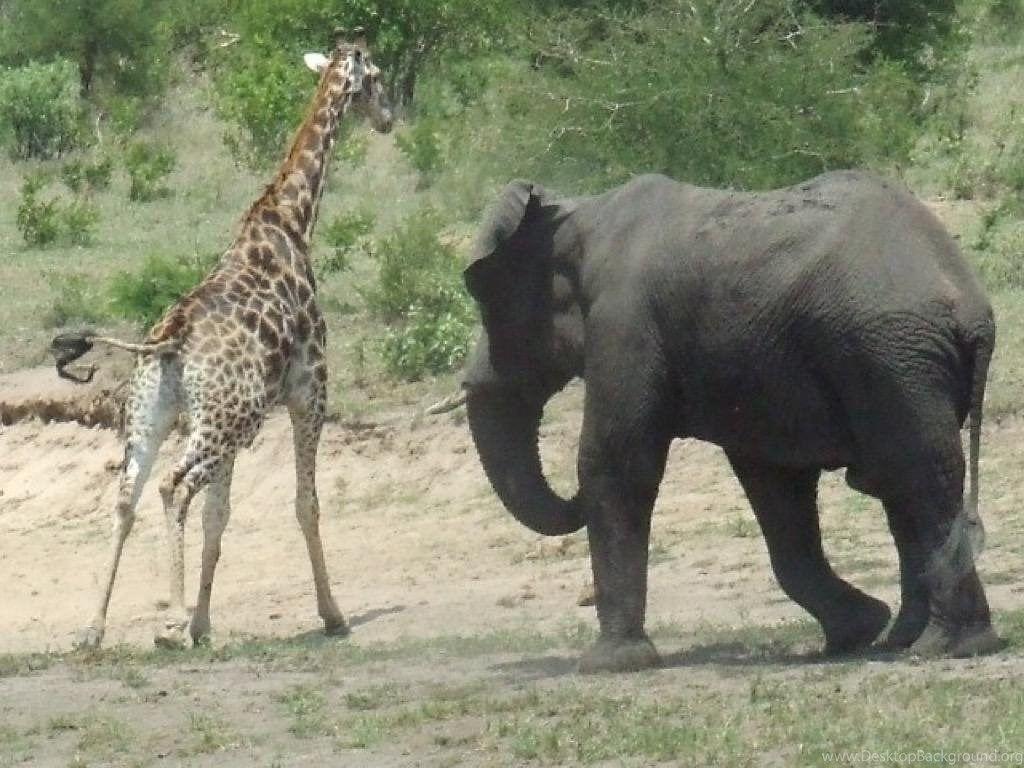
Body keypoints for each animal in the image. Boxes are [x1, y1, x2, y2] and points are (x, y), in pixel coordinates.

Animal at [458, 170, 1001, 673]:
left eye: (486, 304)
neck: (578, 215)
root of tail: (971, 309)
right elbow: (775, 487)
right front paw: (856, 631)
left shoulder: (623, 323)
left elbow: (614, 462)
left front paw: (608, 665)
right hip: (896, 361)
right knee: (899, 483)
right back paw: (905, 640)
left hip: (893, 357)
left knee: (918, 476)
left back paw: (944, 647)